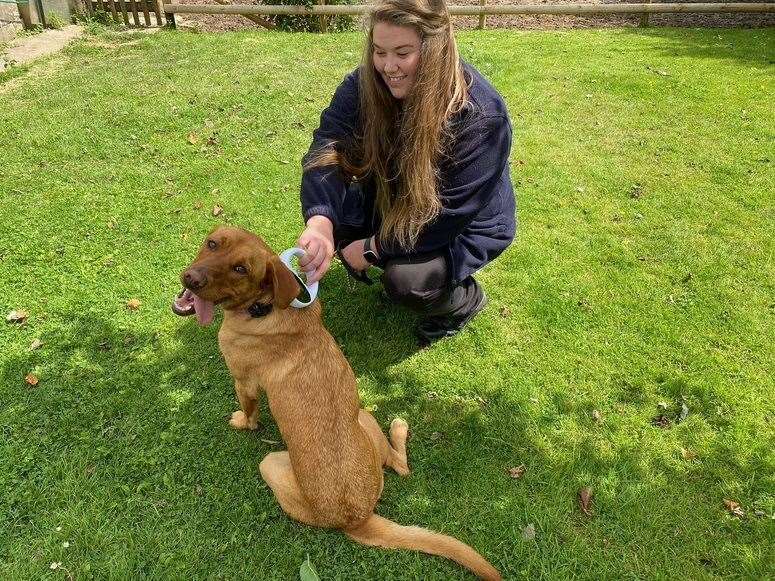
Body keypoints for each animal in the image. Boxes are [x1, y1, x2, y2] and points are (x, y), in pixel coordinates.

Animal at [174, 227, 504, 580]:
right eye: (212, 244)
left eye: (241, 269)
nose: (191, 278)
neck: (266, 306)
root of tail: (357, 517)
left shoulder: (244, 383)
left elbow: (250, 414)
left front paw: (241, 421)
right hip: (363, 423)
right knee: (401, 469)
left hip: (285, 455)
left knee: (399, 463)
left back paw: (398, 429)